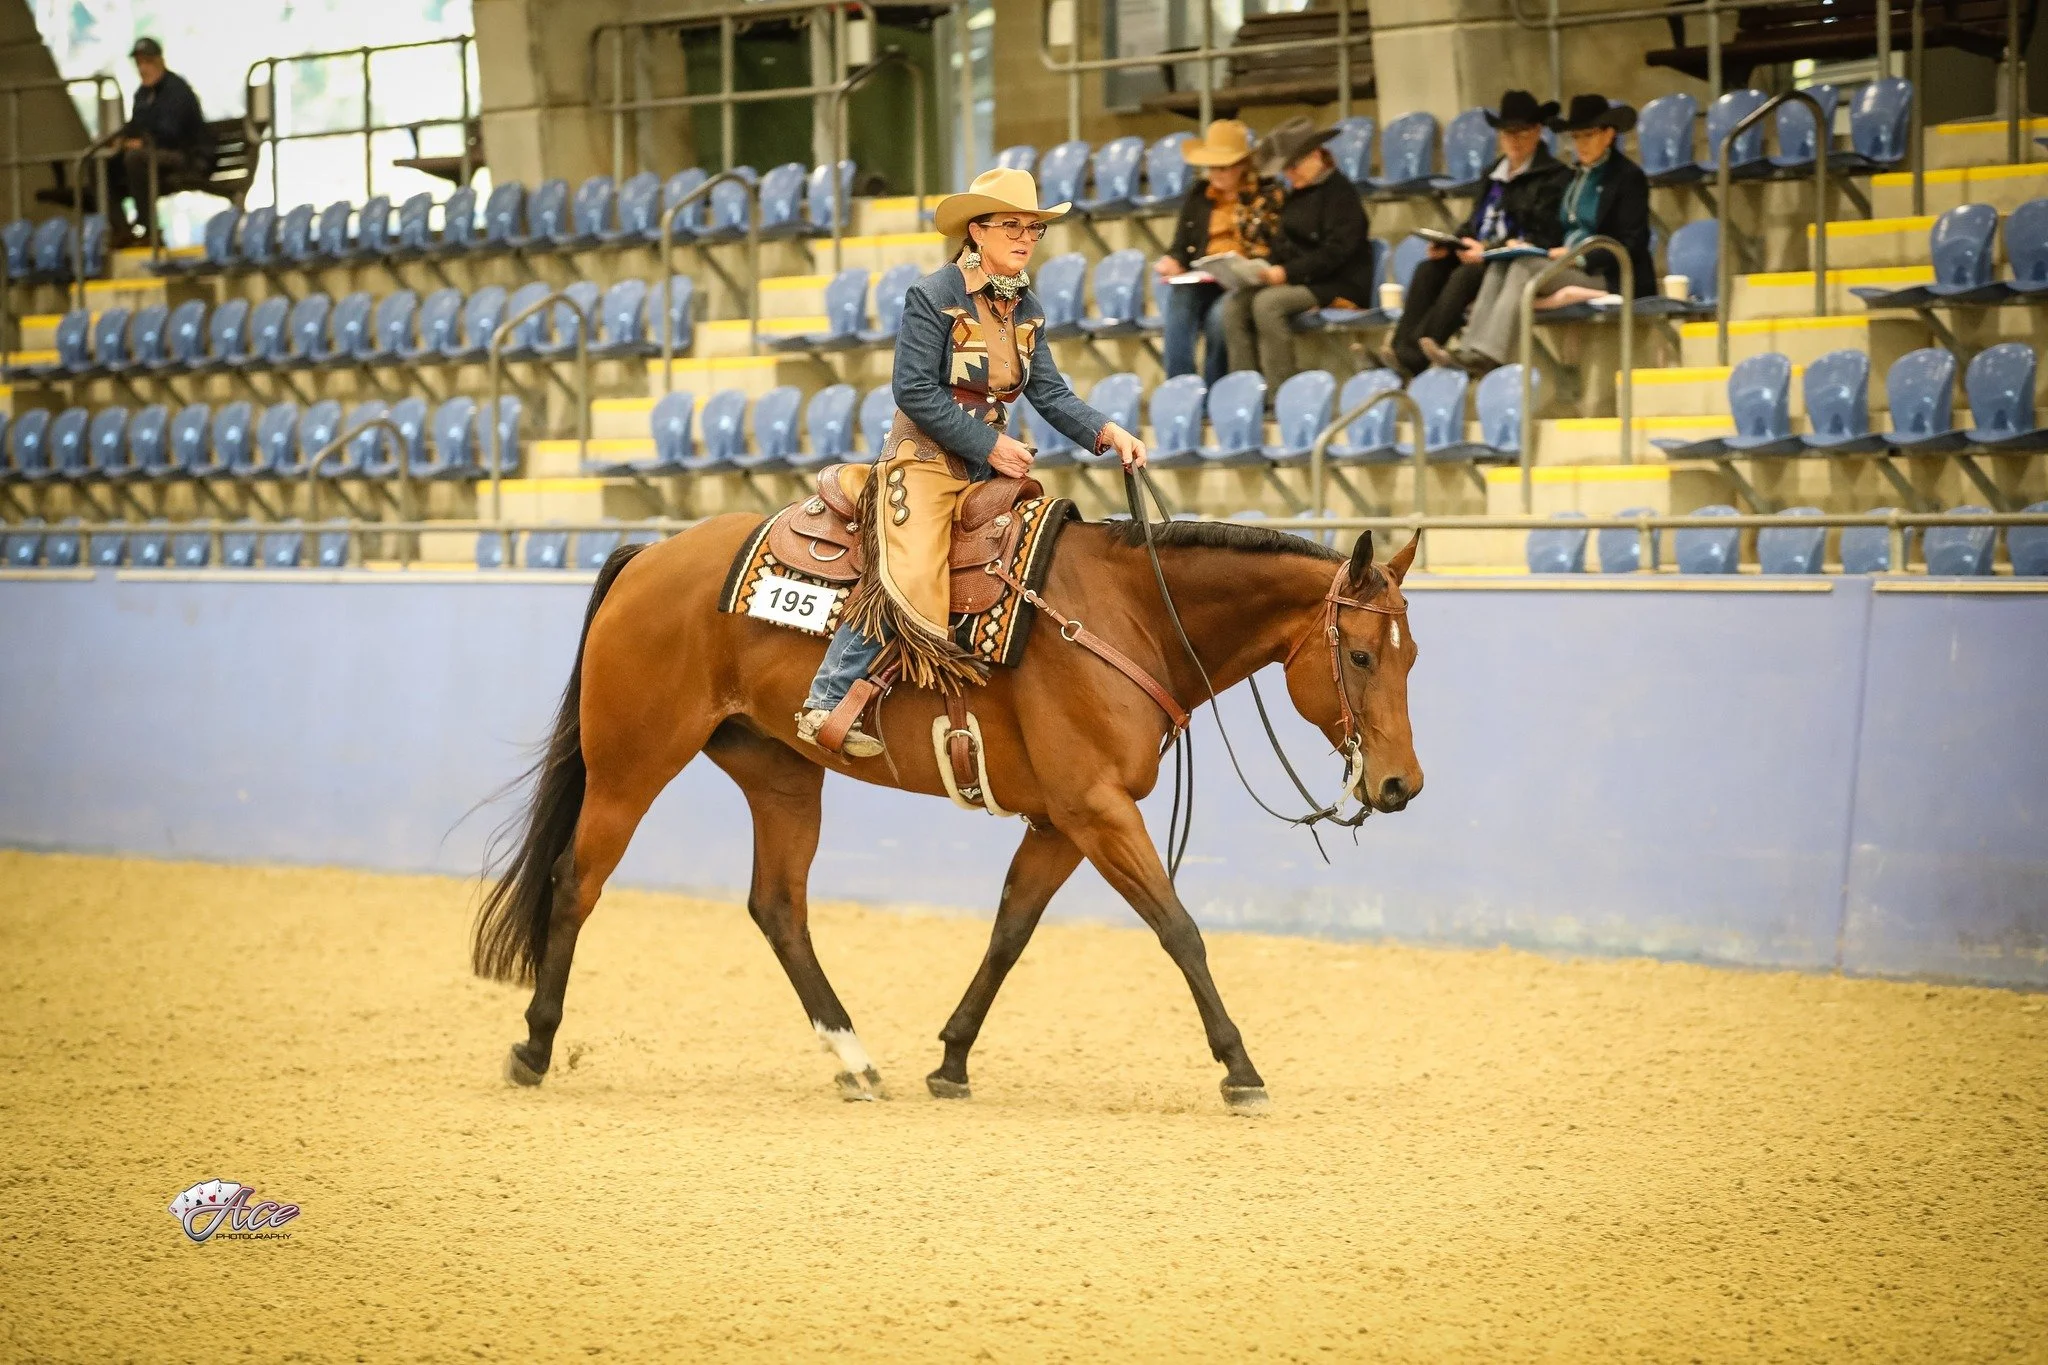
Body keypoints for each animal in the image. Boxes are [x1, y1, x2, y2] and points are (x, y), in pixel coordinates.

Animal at [470, 509, 1422, 1114]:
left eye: (1411, 654)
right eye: (1361, 654)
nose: (1400, 785)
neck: (1129, 616)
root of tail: (646, 556)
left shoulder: (1062, 821)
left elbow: (1010, 930)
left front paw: (953, 1058)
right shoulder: (1098, 810)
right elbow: (1180, 928)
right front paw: (1241, 1066)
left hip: (781, 777)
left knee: (778, 907)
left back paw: (856, 1060)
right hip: (632, 762)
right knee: (576, 880)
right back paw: (534, 1047)